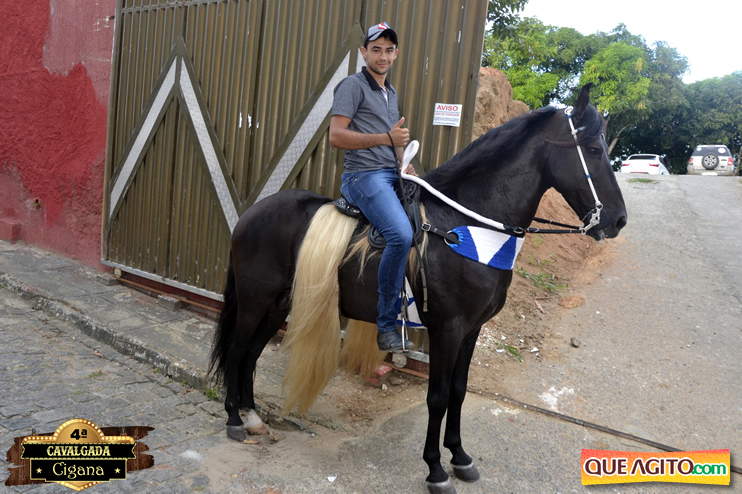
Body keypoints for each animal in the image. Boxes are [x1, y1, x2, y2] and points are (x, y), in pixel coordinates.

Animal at [210, 84, 627, 493]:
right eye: (593, 150)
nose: (619, 220)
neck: (464, 228)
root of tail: (251, 213)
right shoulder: (447, 329)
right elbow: (438, 397)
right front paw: (436, 470)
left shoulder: (472, 330)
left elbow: (459, 391)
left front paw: (460, 457)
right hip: (254, 301)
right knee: (237, 350)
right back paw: (234, 420)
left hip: (279, 304)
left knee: (251, 354)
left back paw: (251, 416)